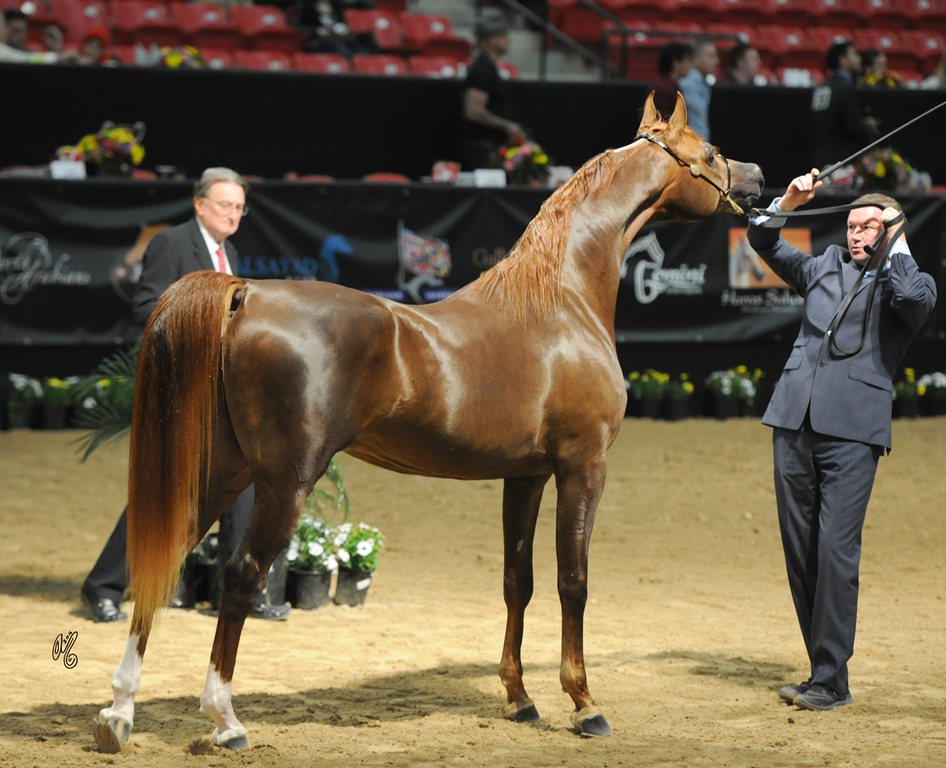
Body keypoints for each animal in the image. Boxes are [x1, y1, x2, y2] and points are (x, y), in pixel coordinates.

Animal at [93, 93, 764, 753]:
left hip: (222, 473)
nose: (757, 178)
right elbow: (573, 581)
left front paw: (520, 699)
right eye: (712, 151)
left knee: (161, 563)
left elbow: (516, 580)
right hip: (285, 482)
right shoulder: (583, 467)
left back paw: (118, 714)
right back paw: (226, 721)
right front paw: (584, 704)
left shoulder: (524, 477)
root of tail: (247, 293)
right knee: (240, 577)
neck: (562, 302)